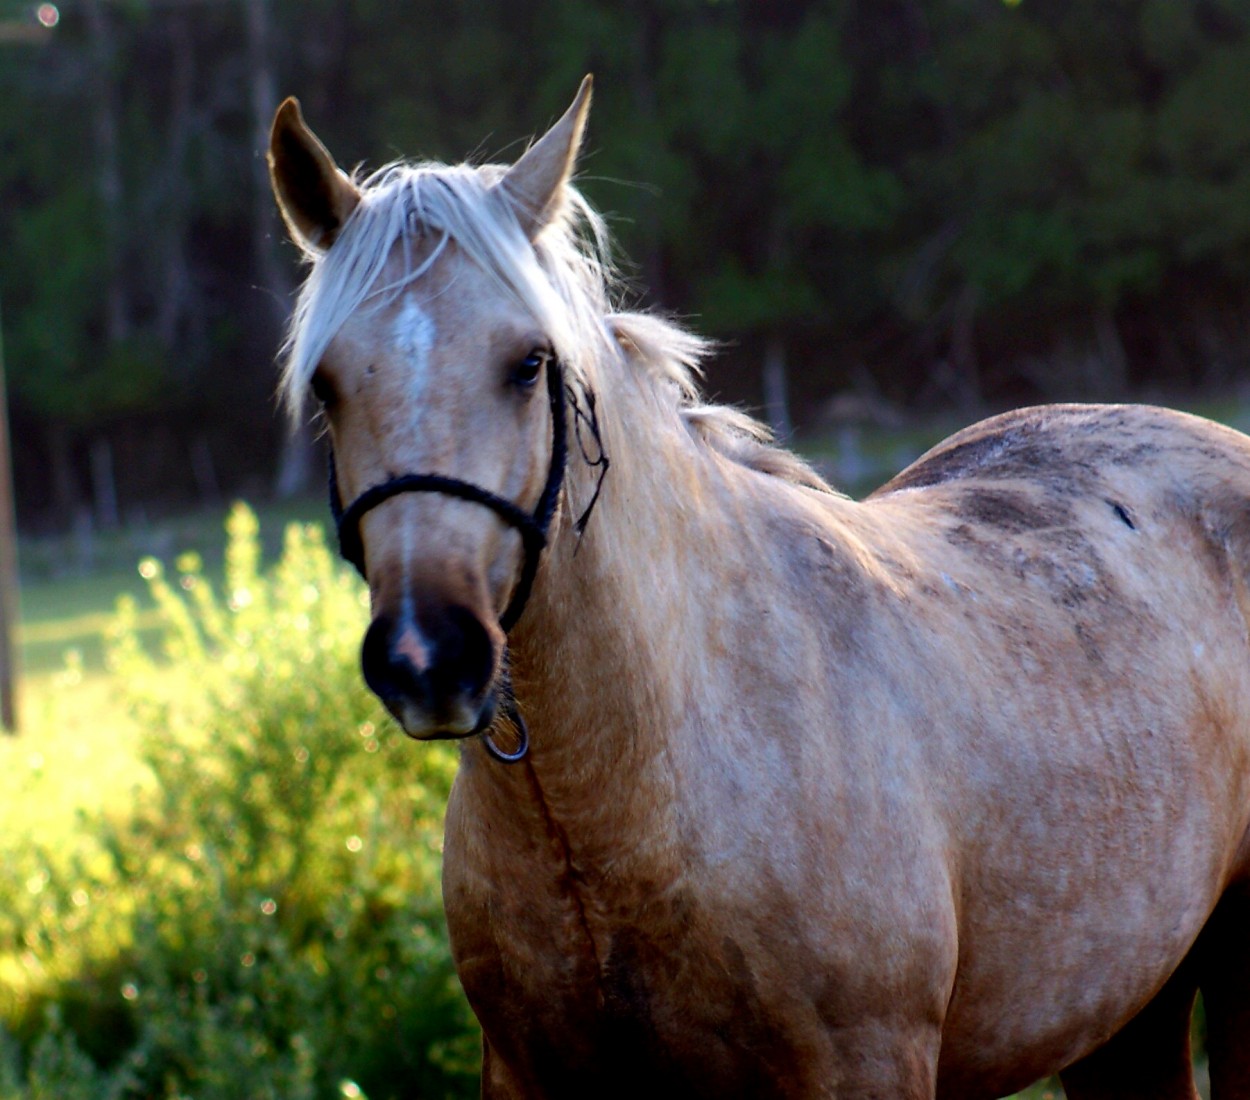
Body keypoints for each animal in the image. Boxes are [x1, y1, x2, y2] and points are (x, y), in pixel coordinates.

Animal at [268, 79, 1250, 1100]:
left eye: (528, 362)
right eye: (328, 386)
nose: (428, 657)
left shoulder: (867, 1066)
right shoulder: (522, 1071)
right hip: (1125, 1013)